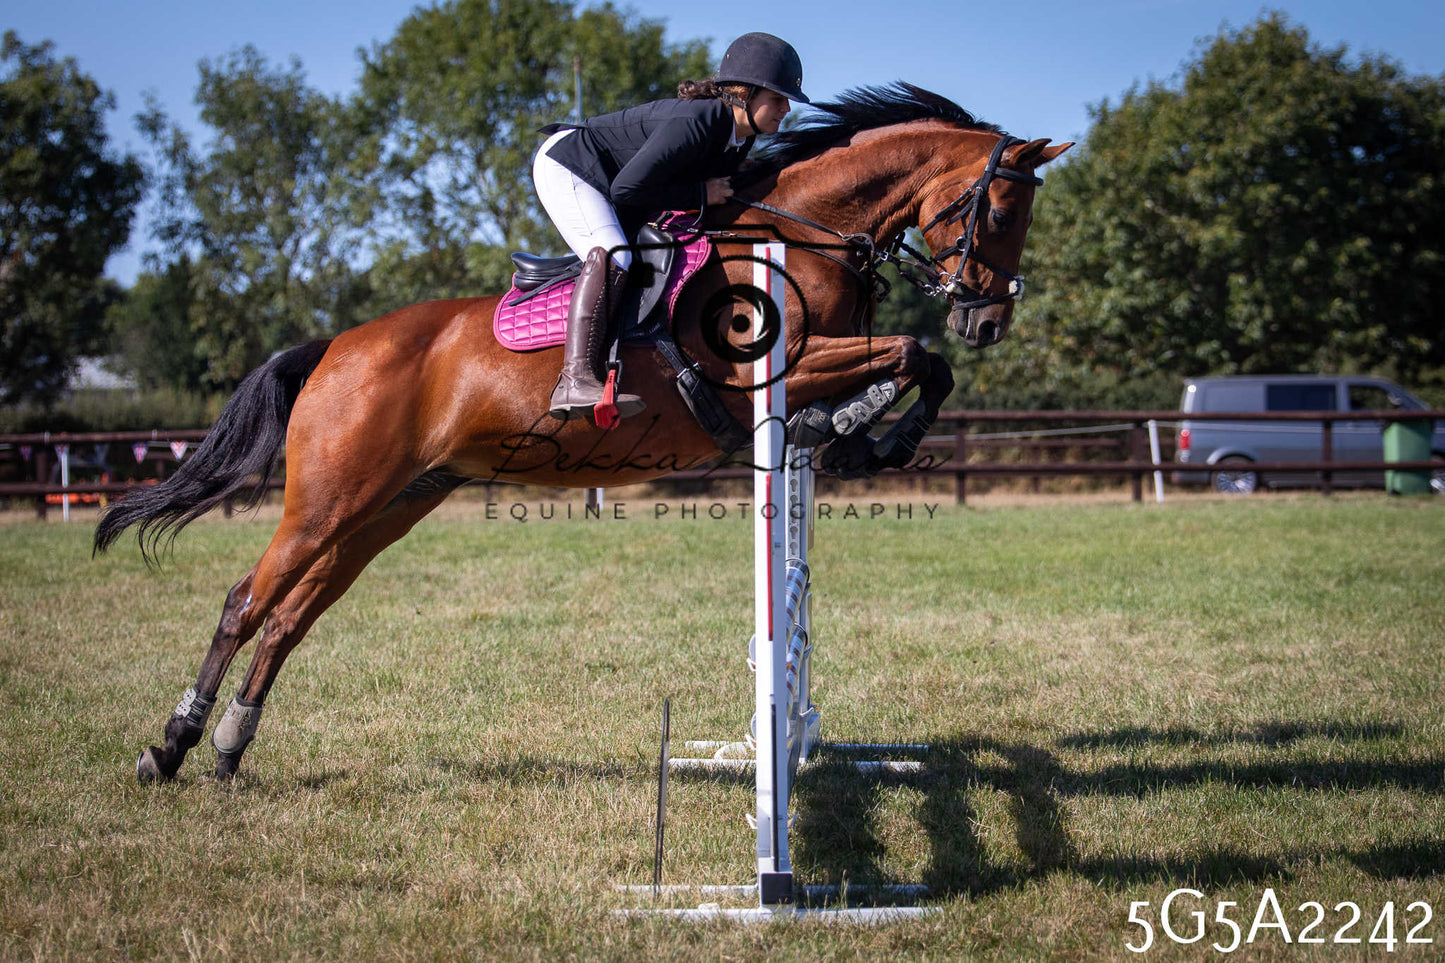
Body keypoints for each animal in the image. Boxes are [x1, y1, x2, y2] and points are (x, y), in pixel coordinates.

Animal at [94, 83, 1070, 782]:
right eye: (997, 212)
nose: (986, 321)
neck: (803, 237)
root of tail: (335, 346)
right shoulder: (761, 371)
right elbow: (911, 353)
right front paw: (867, 434)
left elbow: (917, 362)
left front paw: (859, 435)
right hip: (328, 500)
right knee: (245, 603)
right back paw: (169, 746)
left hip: (388, 506)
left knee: (291, 619)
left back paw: (227, 749)